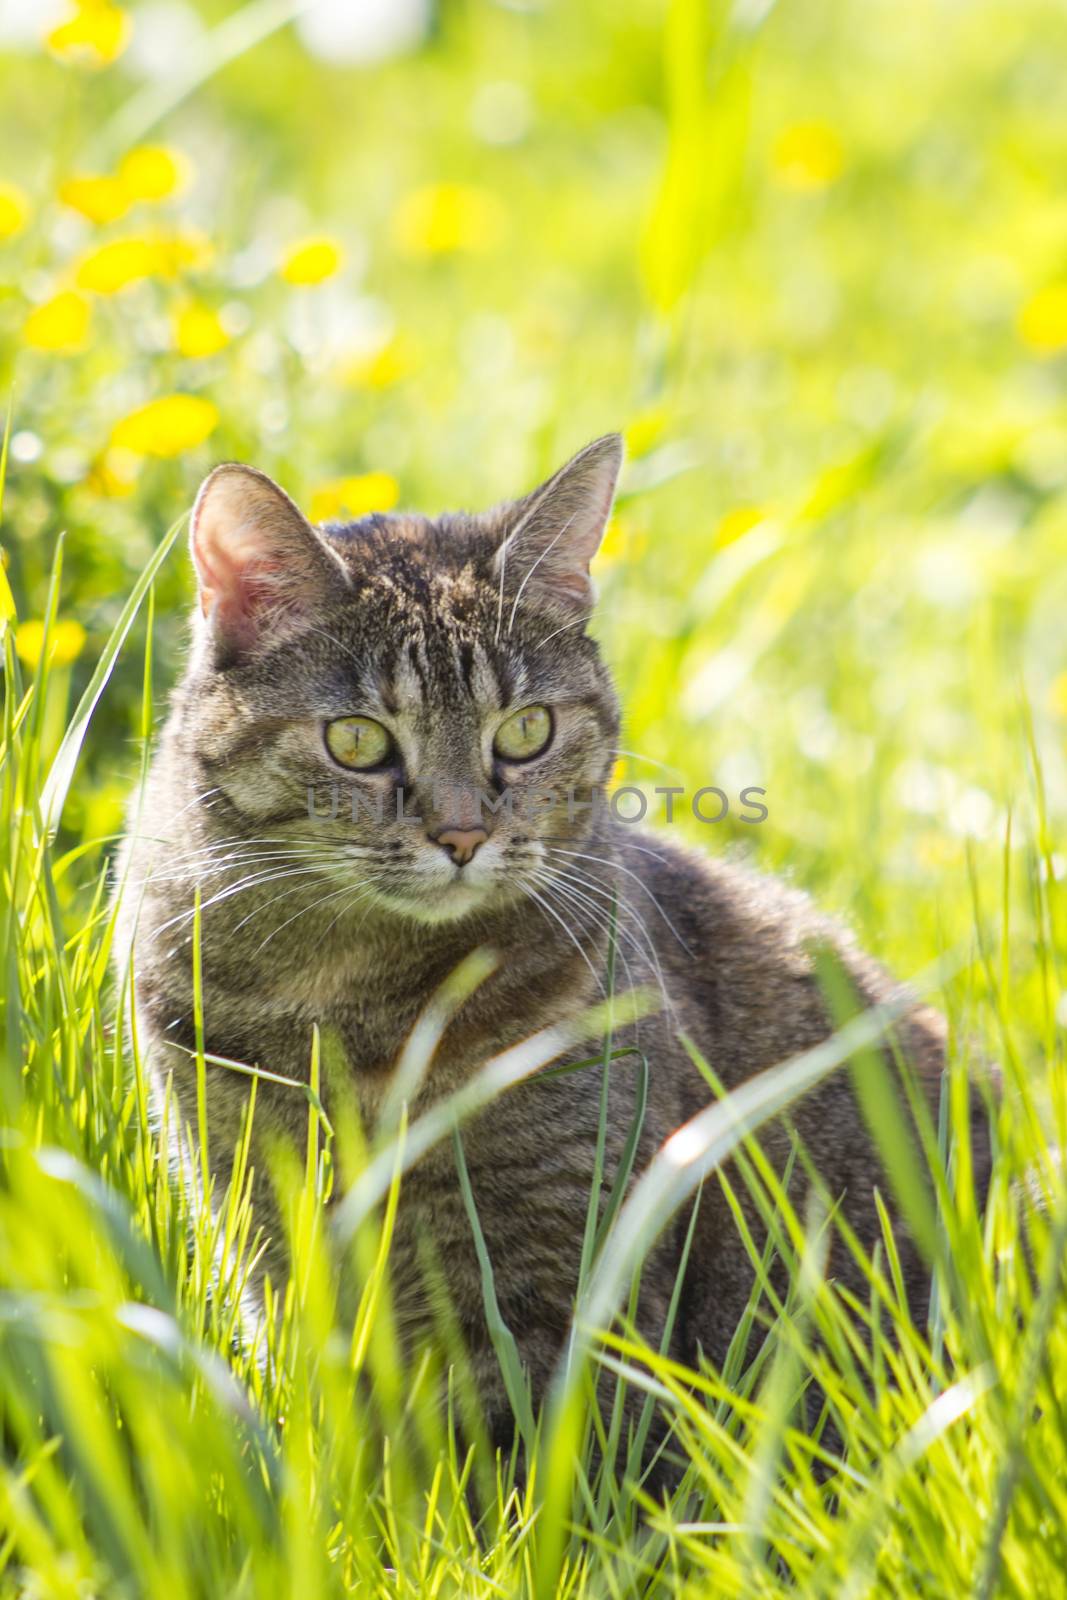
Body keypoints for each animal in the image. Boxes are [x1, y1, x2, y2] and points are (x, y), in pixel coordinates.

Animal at [116, 438, 991, 1465]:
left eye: (525, 730)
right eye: (357, 741)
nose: (461, 835)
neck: (362, 996)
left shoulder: (561, 1249)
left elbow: (540, 1454)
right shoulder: (262, 1218)